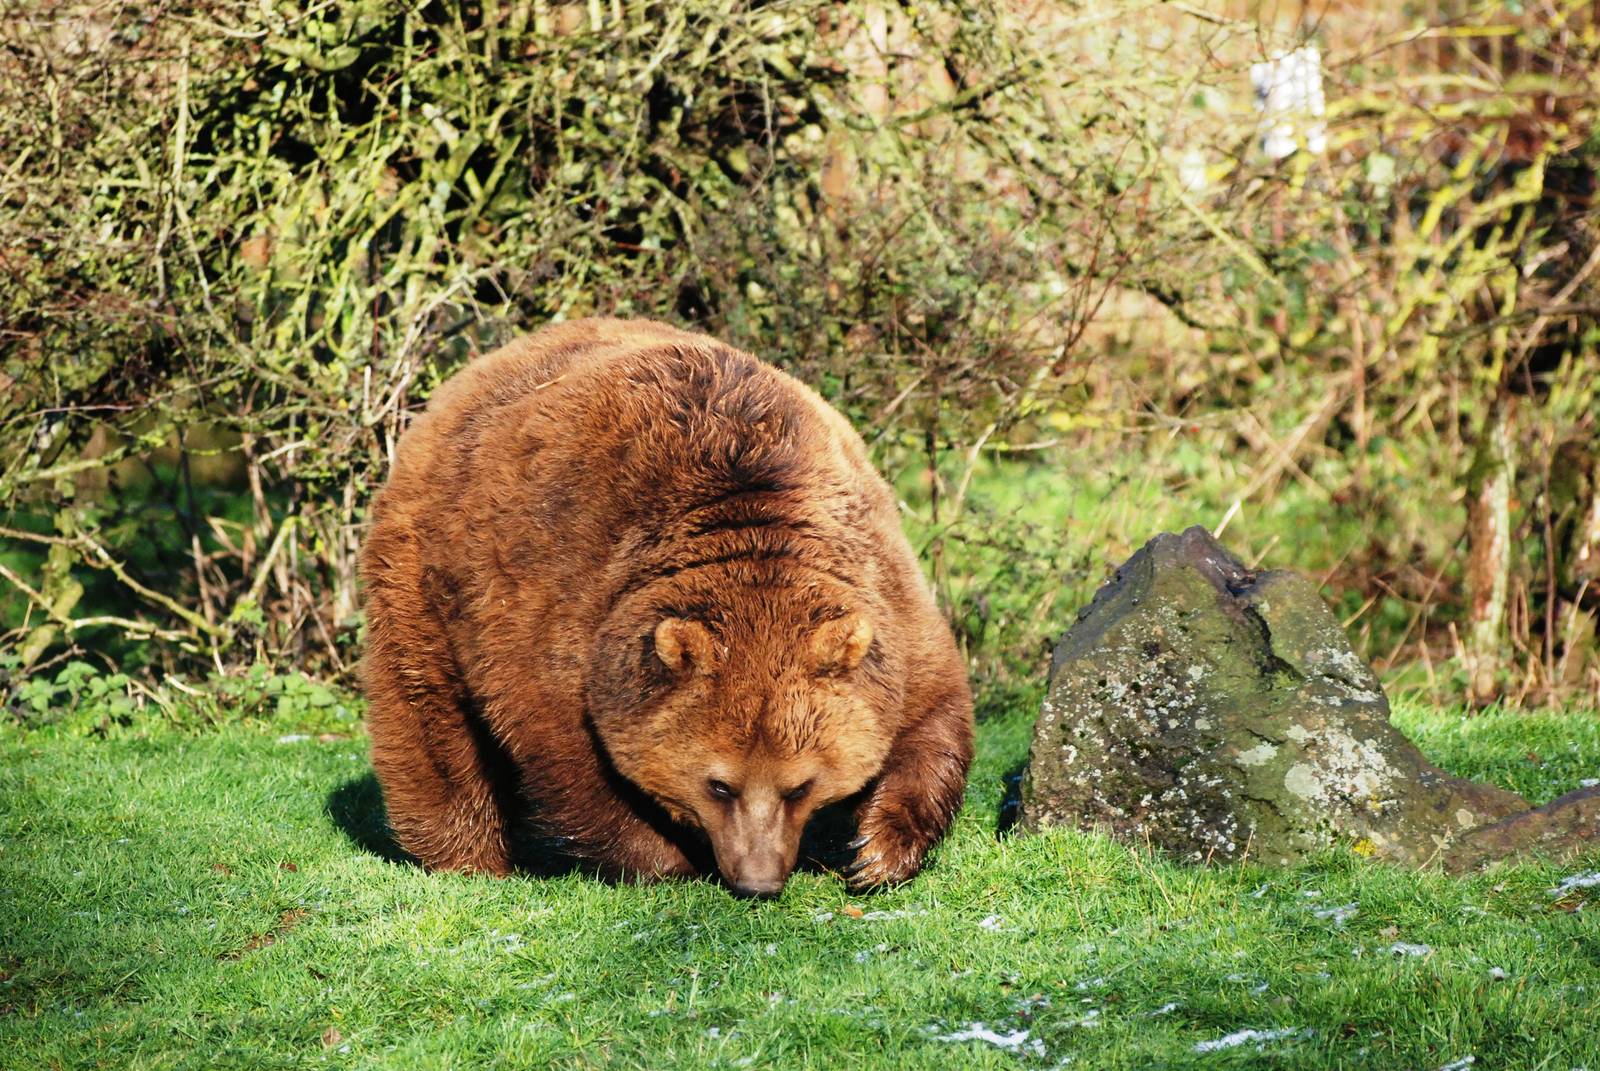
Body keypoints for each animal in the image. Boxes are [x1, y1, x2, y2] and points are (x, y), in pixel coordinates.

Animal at [360, 318, 974, 896]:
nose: (757, 879)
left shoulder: (880, 586)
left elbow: (931, 714)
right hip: (426, 572)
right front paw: (672, 860)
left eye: (800, 784)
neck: (748, 520)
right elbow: (570, 757)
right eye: (719, 784)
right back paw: (468, 859)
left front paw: (876, 852)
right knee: (428, 715)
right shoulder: (567, 597)